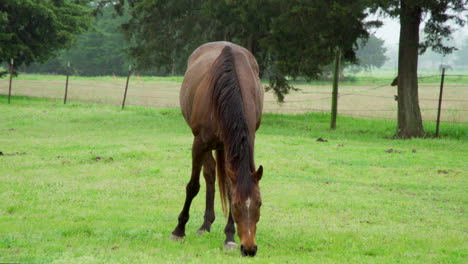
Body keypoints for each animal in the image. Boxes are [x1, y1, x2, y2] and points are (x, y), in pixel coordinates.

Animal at [172, 42, 266, 256]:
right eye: (238, 205)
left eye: (259, 203)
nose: (249, 249)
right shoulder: (199, 143)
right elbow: (193, 186)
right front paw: (179, 230)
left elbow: (231, 188)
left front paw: (229, 237)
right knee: (209, 174)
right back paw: (204, 225)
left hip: (224, 147)